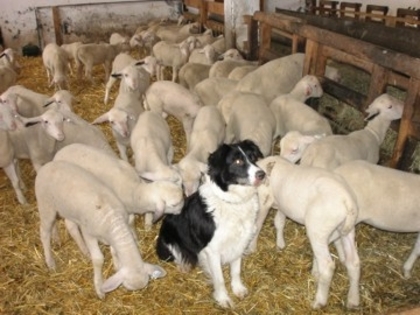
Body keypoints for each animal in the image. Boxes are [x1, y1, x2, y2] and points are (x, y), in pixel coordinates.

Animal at [35, 160, 167, 298]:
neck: (114, 222)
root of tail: (47, 165)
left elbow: (114, 251)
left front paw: (116, 265)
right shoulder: (89, 234)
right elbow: (98, 259)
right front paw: (99, 287)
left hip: (68, 209)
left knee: (70, 226)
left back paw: (82, 250)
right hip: (46, 205)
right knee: (44, 232)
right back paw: (50, 261)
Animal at [156, 140, 264, 308]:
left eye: (253, 158)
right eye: (237, 161)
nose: (262, 174)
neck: (233, 201)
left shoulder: (239, 242)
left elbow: (236, 270)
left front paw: (238, 289)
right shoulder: (213, 250)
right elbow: (219, 279)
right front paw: (223, 299)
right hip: (169, 241)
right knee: (179, 255)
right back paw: (184, 265)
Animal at [253, 157, 360, 310]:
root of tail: (348, 202)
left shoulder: (264, 200)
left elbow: (257, 225)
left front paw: (251, 248)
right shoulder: (283, 205)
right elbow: (279, 222)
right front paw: (280, 244)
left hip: (318, 229)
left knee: (327, 266)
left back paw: (319, 302)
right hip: (347, 230)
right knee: (354, 263)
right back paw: (353, 299)